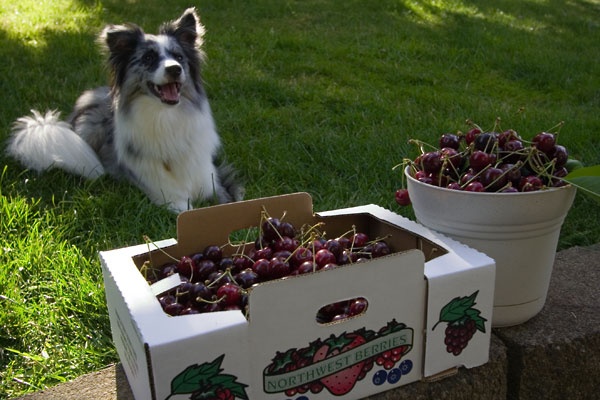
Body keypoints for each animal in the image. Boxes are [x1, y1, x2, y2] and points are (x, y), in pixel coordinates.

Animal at [5, 7, 241, 212]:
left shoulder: (211, 179)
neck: (166, 117)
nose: (175, 69)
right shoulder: (166, 194)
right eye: (148, 58)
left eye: (179, 57)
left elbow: (229, 201)